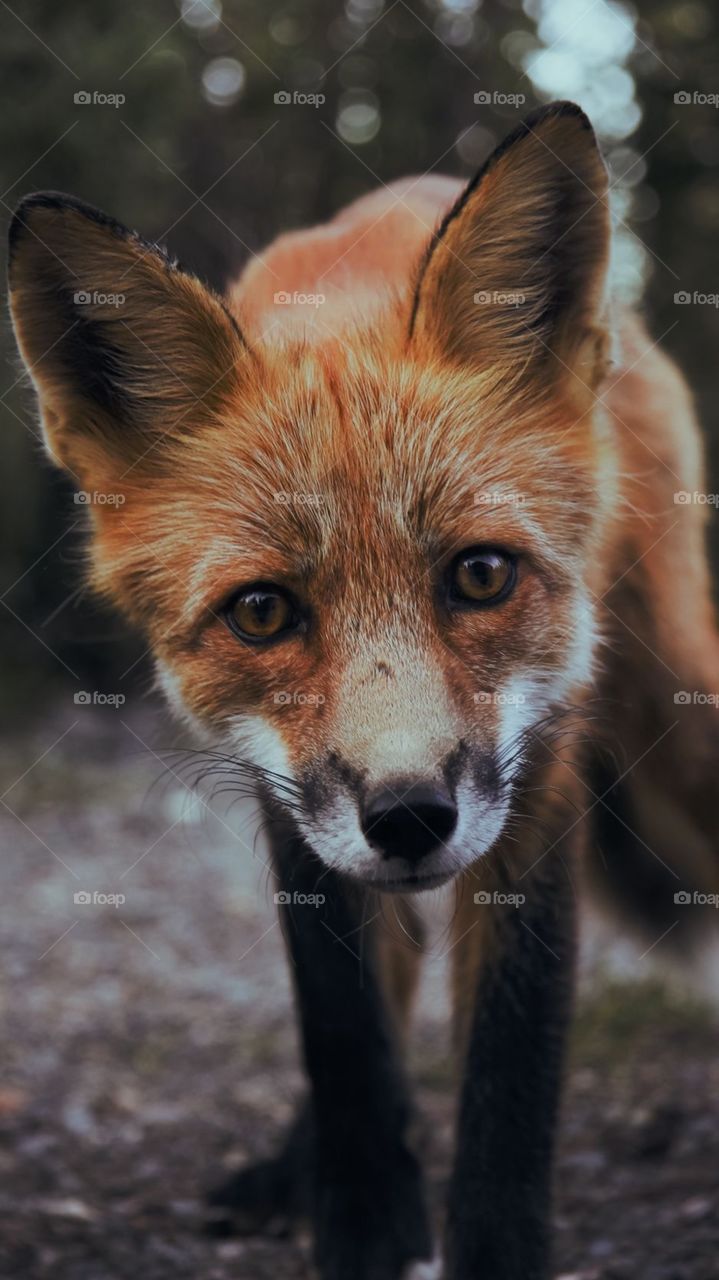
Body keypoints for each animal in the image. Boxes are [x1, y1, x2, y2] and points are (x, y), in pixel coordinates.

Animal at [8, 101, 719, 1279]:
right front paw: (363, 1221)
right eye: (261, 612)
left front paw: (490, 1248)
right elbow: (339, 1021)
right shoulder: (286, 792)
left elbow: (510, 1066)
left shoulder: (538, 768)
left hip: (673, 705)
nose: (410, 817)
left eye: (479, 575)